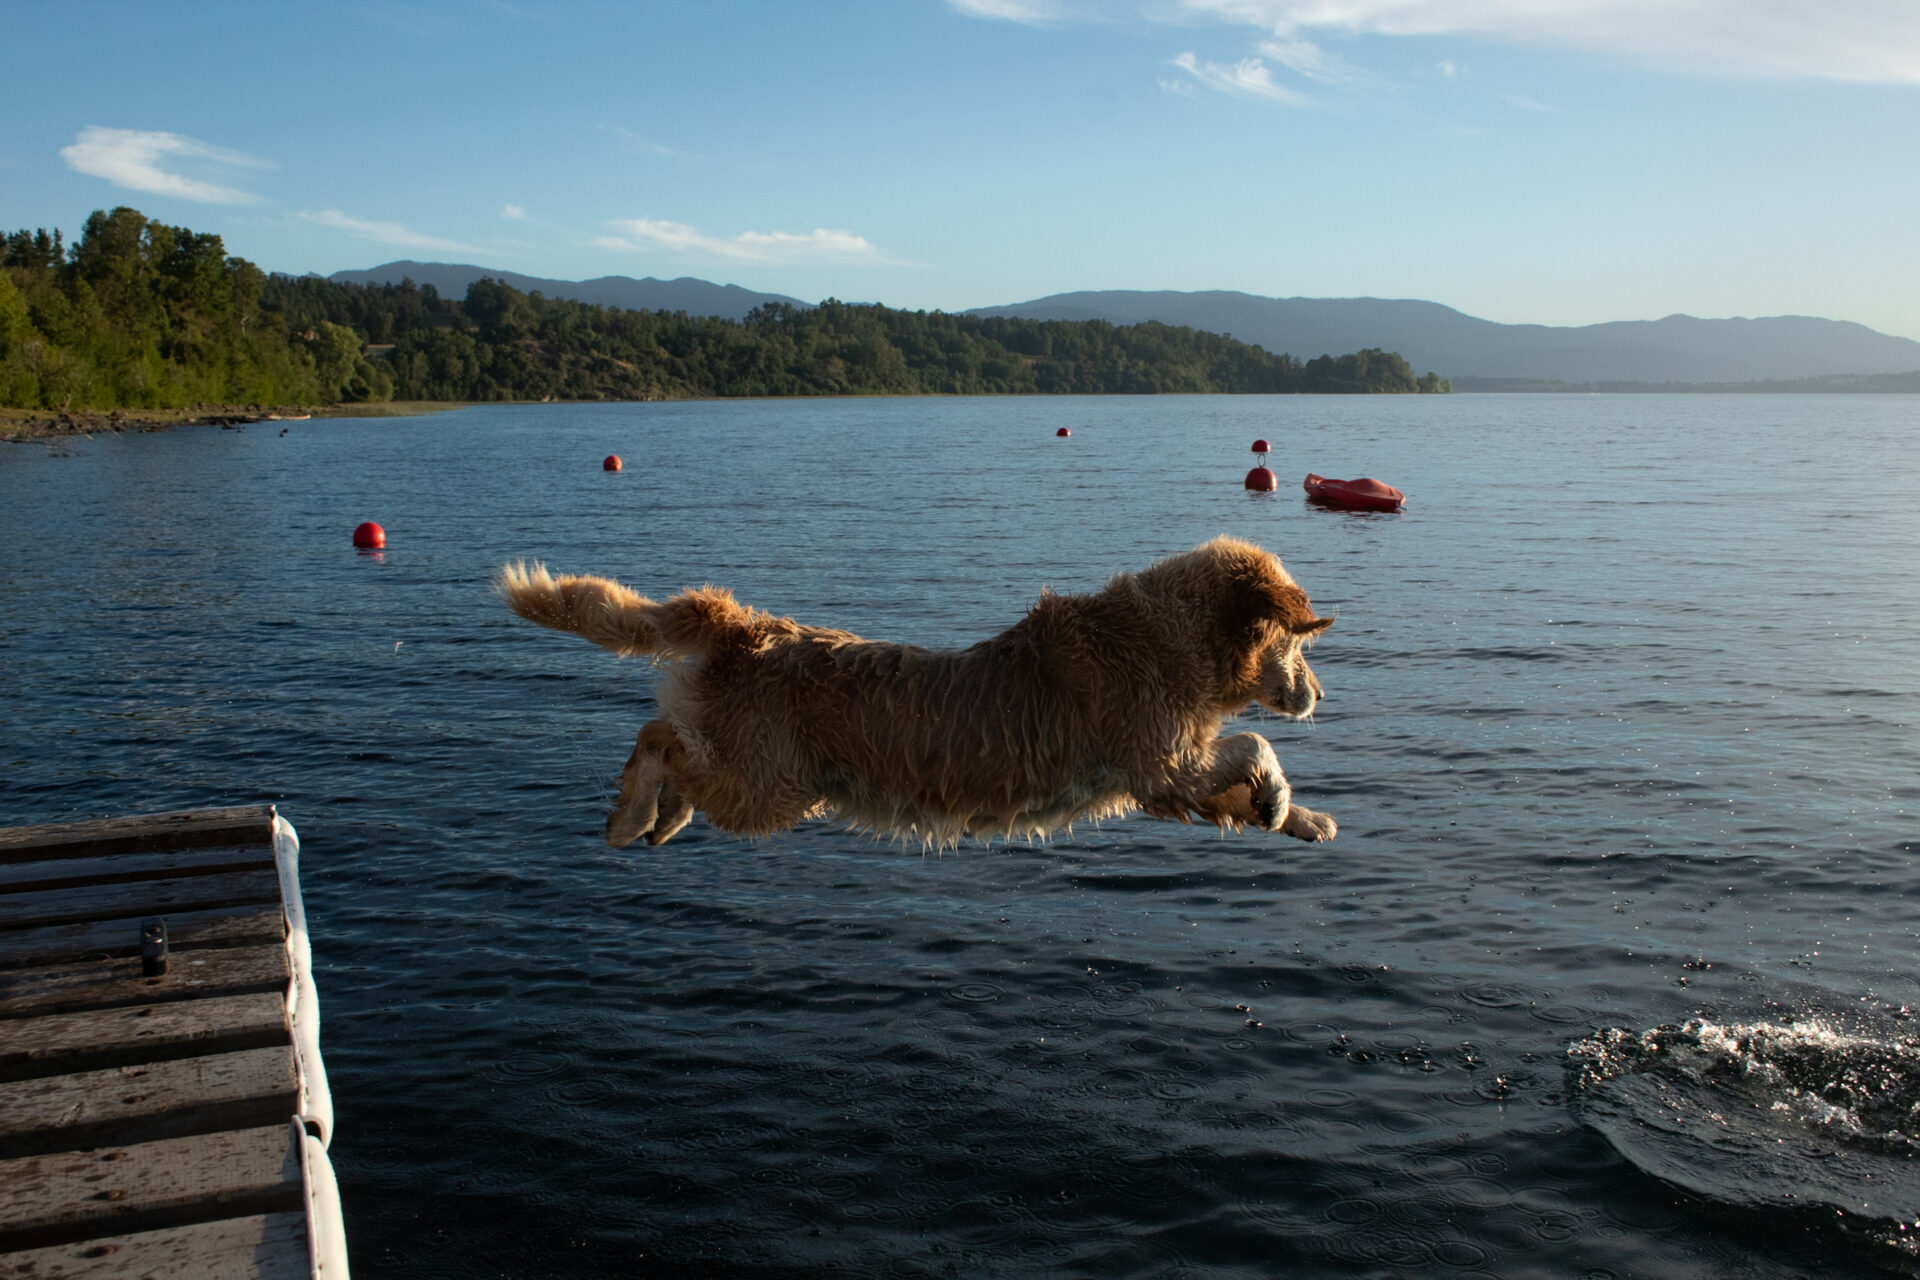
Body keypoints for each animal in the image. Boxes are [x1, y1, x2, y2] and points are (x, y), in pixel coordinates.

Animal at [495, 537, 1336, 852]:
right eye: (1301, 642)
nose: (1320, 696)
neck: (1171, 637)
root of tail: (746, 623)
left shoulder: (1170, 783)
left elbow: (1242, 790)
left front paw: (1298, 816)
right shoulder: (1161, 764)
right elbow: (1253, 741)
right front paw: (1280, 791)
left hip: (758, 780)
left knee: (672, 745)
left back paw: (660, 818)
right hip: (770, 789)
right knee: (657, 739)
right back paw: (631, 816)